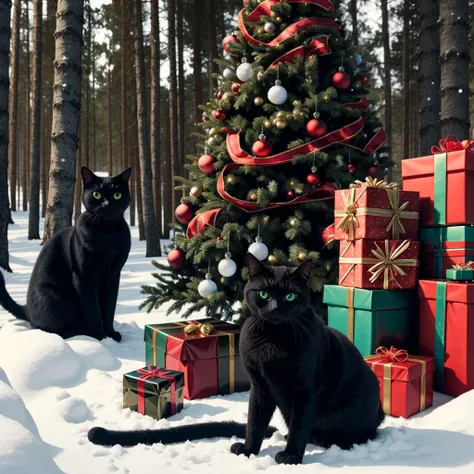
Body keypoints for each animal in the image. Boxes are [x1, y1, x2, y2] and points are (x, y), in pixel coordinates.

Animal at [0, 168, 132, 342]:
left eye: (117, 194)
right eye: (97, 194)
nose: (106, 204)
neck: (107, 234)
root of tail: (26, 308)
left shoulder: (113, 275)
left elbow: (109, 308)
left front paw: (111, 334)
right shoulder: (84, 276)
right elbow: (93, 310)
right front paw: (99, 335)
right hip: (56, 298)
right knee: (46, 328)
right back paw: (81, 331)